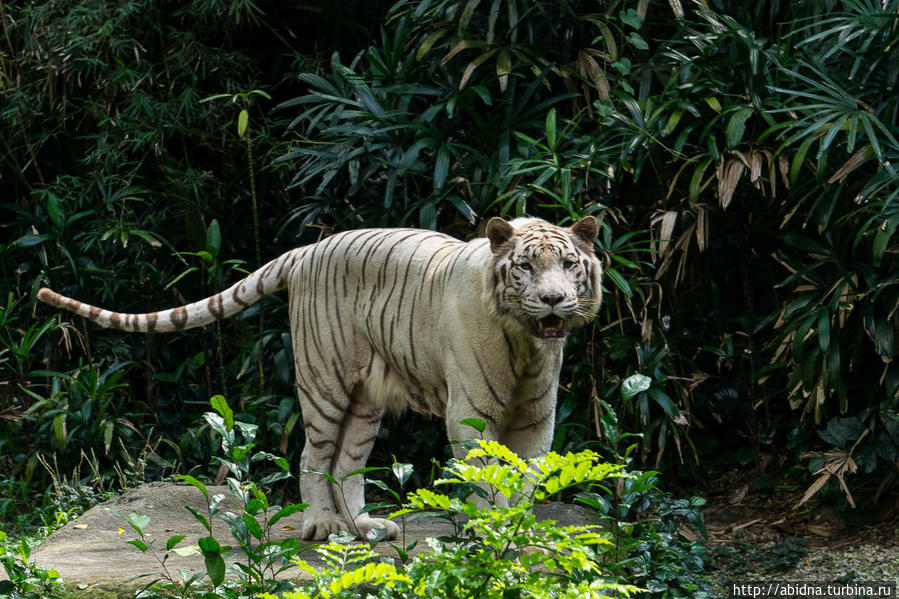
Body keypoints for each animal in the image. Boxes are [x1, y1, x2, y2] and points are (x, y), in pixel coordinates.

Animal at [40, 218, 604, 540]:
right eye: (525, 267)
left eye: (568, 264)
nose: (553, 300)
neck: (526, 341)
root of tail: (307, 250)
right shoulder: (472, 414)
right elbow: (487, 477)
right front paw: (495, 528)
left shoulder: (536, 418)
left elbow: (526, 477)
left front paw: (519, 530)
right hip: (324, 381)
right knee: (313, 458)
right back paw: (323, 525)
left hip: (366, 399)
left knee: (347, 463)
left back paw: (362, 527)